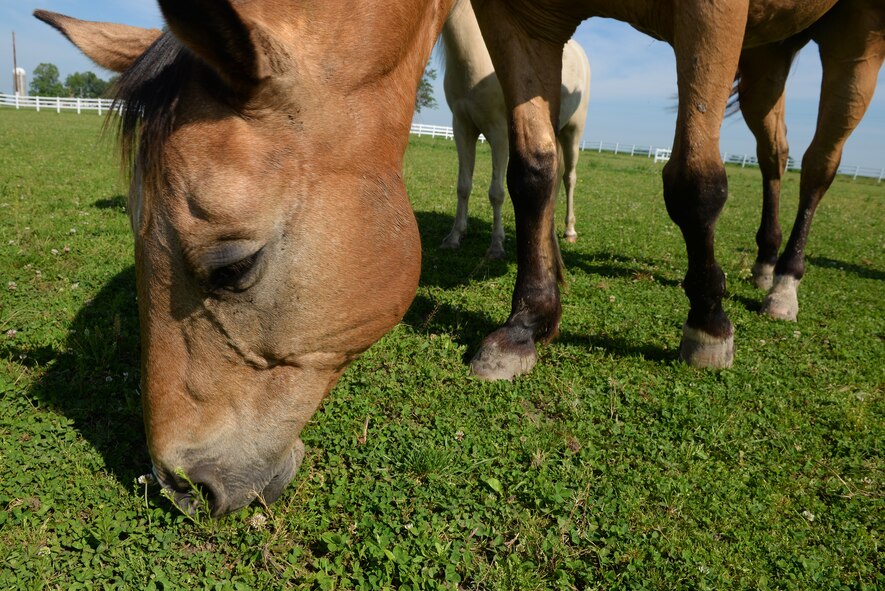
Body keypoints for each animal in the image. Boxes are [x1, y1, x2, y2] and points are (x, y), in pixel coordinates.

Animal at [438, 0, 591, 259]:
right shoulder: (462, 128)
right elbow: (463, 186)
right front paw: (455, 236)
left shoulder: (499, 133)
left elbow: (497, 192)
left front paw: (496, 246)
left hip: (573, 132)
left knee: (569, 178)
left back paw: (569, 231)